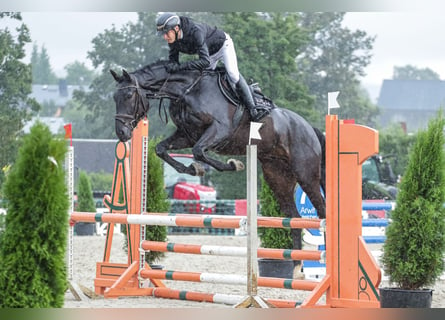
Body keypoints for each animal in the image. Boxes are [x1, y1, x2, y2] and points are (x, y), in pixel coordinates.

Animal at [110, 61, 326, 276]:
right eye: (114, 98)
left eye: (128, 95)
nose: (122, 133)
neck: (186, 91)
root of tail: (309, 128)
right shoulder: (187, 135)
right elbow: (162, 149)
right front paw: (193, 169)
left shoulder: (219, 129)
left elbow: (199, 151)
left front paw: (232, 164)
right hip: (278, 177)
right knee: (295, 218)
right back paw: (297, 268)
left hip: (305, 174)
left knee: (322, 211)